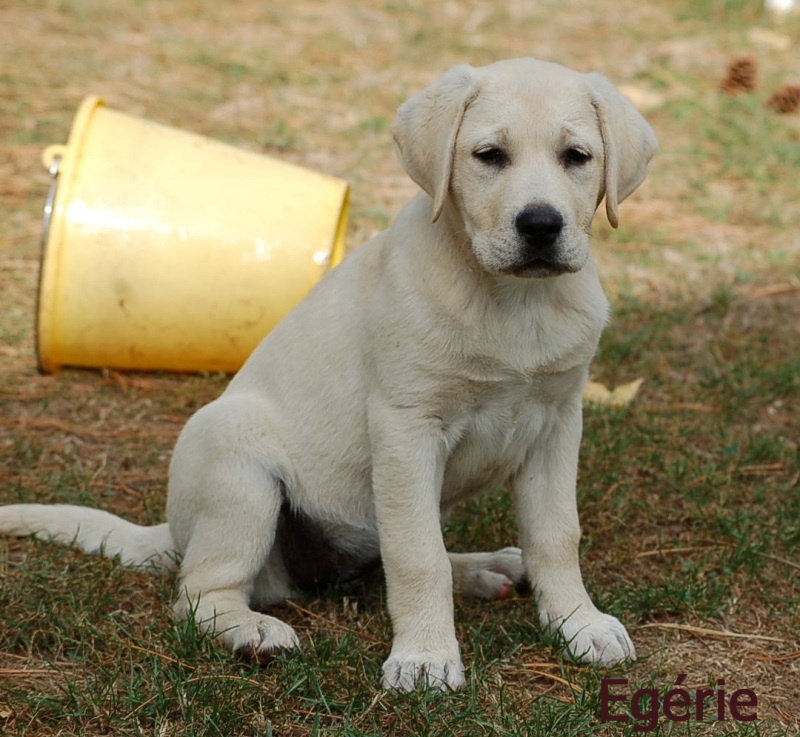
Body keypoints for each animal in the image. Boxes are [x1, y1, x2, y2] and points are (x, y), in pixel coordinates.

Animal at [1, 57, 656, 688]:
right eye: (489, 155)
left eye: (577, 157)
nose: (541, 225)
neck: (515, 301)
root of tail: (174, 532)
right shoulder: (406, 426)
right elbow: (417, 555)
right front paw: (424, 658)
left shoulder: (556, 423)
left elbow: (556, 535)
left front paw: (578, 625)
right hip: (237, 466)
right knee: (201, 592)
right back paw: (253, 632)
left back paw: (484, 567)